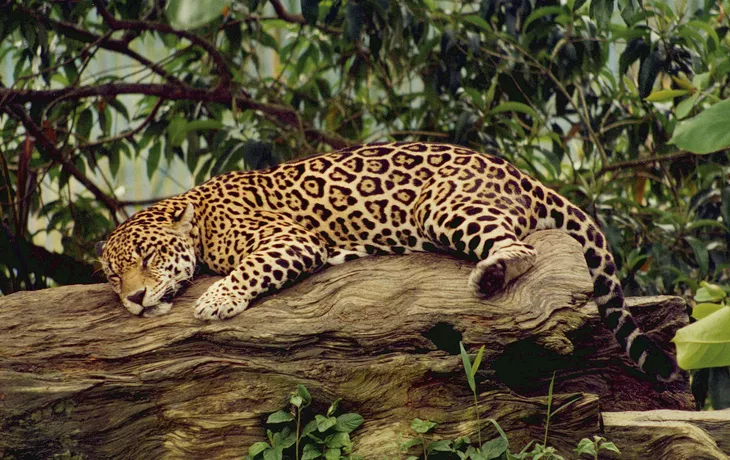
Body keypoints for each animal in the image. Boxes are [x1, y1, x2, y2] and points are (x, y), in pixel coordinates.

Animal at [96, 141, 678, 381]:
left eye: (148, 256)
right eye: (114, 275)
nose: (136, 297)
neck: (200, 220)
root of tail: (515, 170)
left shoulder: (289, 240)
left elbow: (250, 269)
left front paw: (216, 300)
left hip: (443, 206)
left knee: (523, 246)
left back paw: (491, 273)